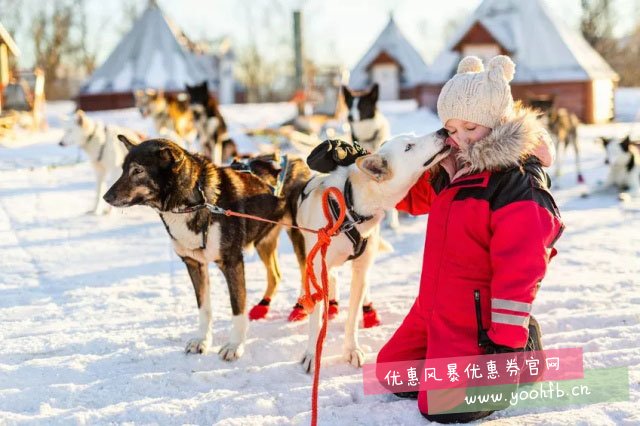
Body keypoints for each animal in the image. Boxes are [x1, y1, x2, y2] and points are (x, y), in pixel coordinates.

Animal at [104, 136, 312, 360]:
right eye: (123, 170)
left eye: (138, 170)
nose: (106, 197)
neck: (194, 202)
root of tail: (296, 159)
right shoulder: (194, 264)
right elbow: (204, 308)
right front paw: (202, 341)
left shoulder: (232, 263)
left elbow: (237, 307)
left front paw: (235, 345)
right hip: (263, 240)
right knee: (275, 274)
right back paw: (262, 307)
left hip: (300, 236)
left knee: (306, 272)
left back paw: (301, 308)